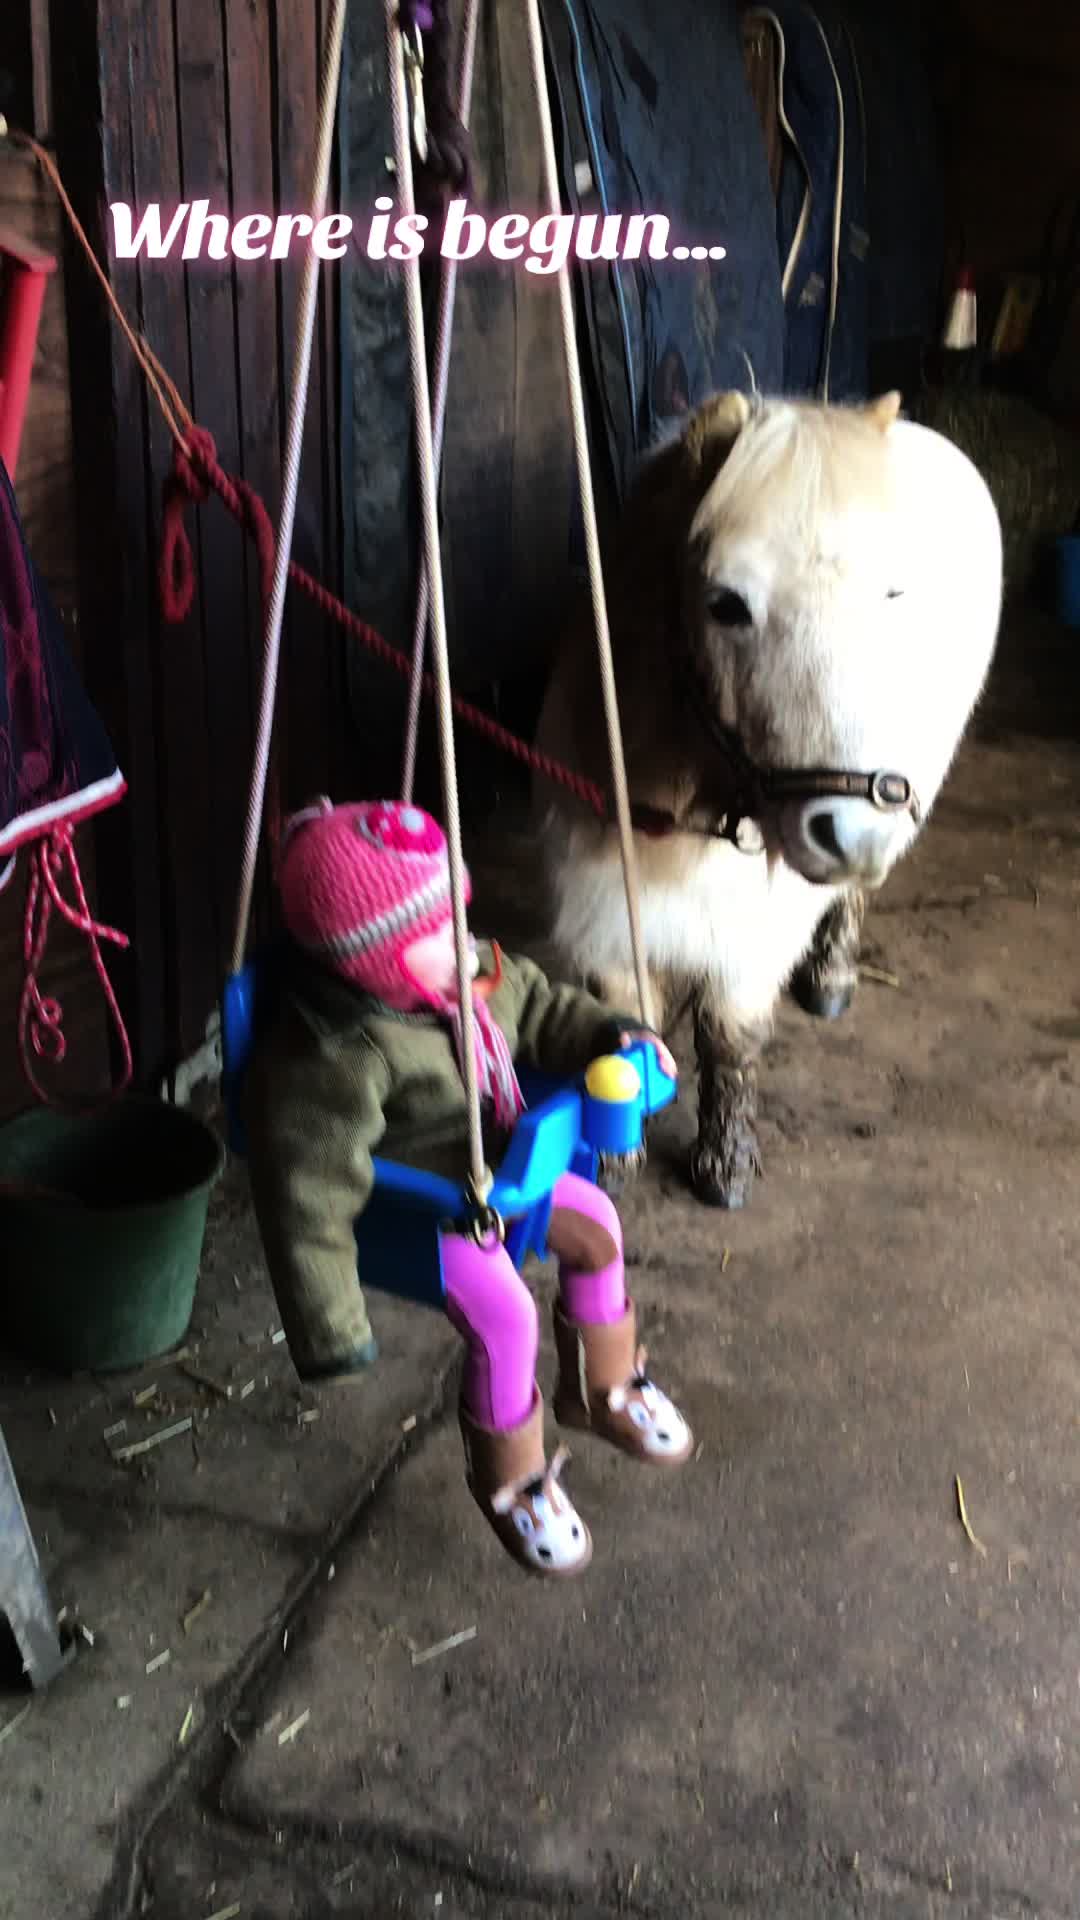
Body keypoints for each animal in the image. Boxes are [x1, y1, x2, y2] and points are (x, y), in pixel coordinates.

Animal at [533, 388, 1003, 1208]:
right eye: (725, 603)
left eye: (893, 594)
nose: (854, 833)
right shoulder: (602, 899)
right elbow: (627, 1013)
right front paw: (612, 1150)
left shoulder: (754, 928)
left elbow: (730, 1034)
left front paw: (724, 1162)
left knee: (851, 902)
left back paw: (832, 978)